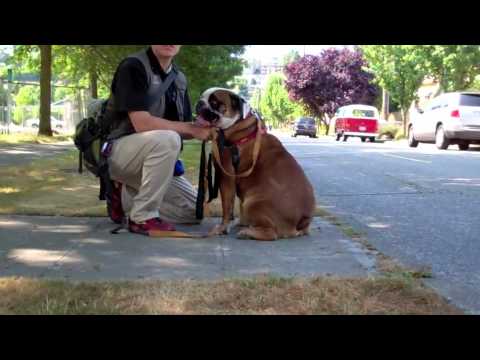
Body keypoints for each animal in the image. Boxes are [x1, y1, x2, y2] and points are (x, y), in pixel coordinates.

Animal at [195, 87, 316, 240]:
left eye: (214, 102)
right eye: (202, 97)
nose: (199, 102)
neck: (236, 126)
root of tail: (302, 220)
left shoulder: (226, 177)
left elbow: (227, 206)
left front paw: (222, 228)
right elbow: (238, 205)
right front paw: (241, 222)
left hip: (253, 203)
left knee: (272, 233)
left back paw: (248, 233)